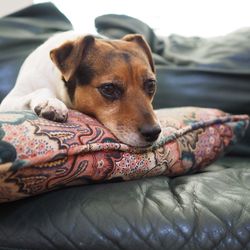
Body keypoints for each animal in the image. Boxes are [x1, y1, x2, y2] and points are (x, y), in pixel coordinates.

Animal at [0, 32, 161, 147]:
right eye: (109, 88)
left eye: (151, 85)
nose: (153, 133)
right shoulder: (9, 101)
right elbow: (42, 90)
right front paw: (51, 103)